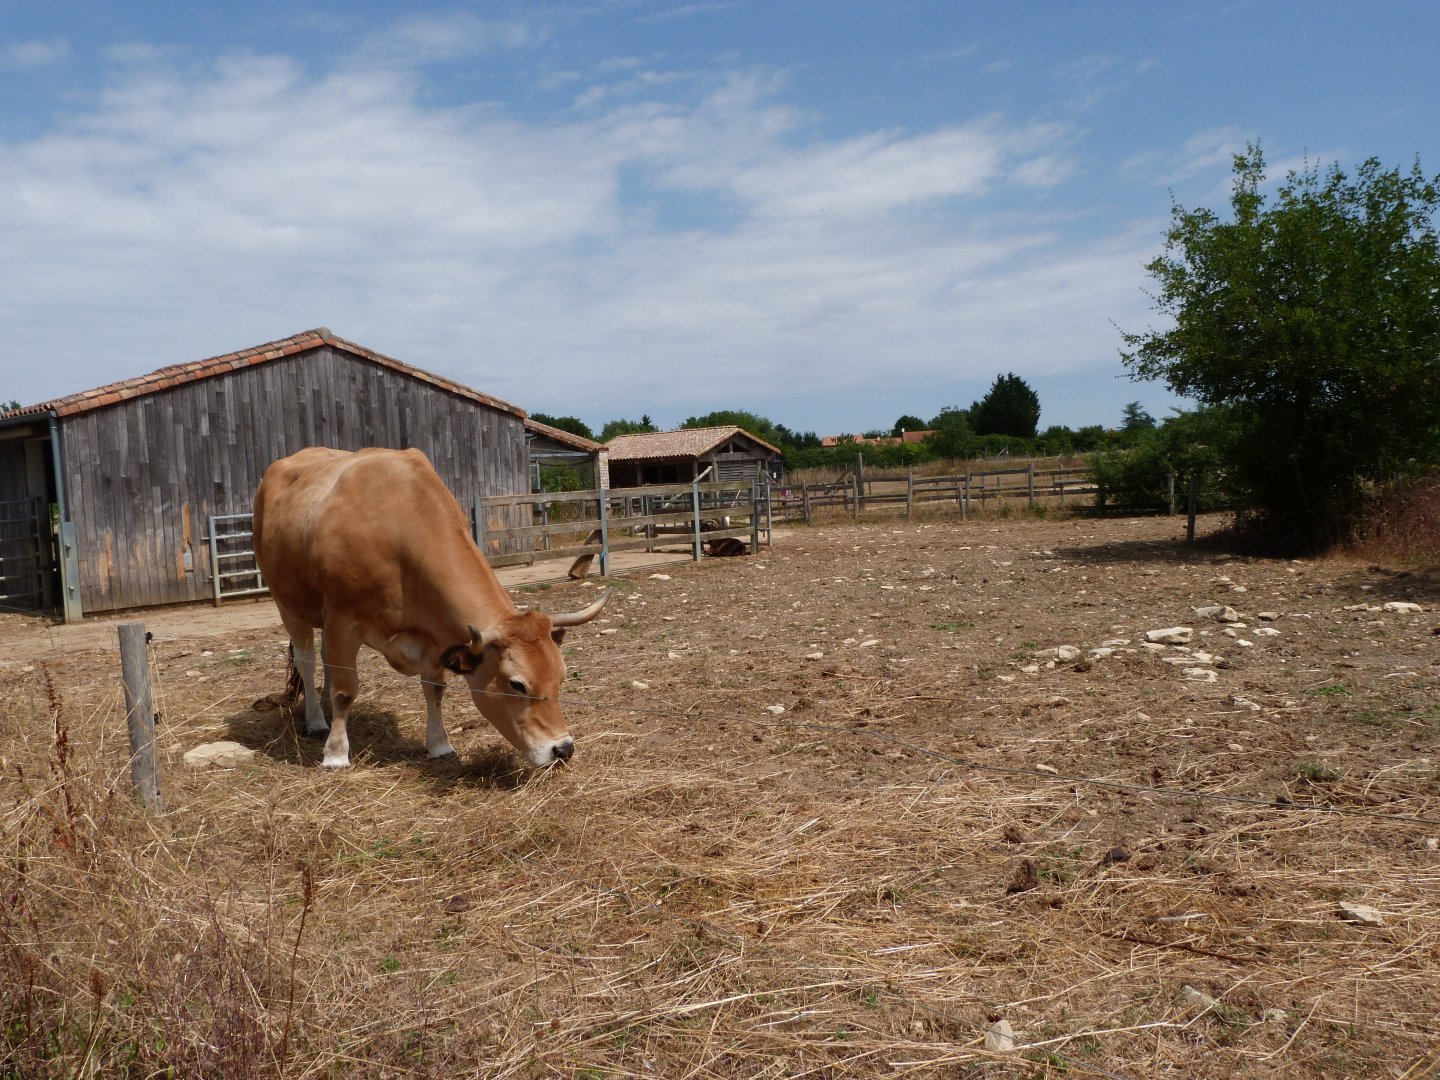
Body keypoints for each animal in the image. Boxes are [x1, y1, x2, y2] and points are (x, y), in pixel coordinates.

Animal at [252, 446, 608, 769]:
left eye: (561, 676)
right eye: (517, 684)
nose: (562, 749)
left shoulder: (435, 638)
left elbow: (435, 690)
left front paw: (439, 745)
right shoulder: (342, 620)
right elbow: (345, 691)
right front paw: (336, 754)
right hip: (289, 606)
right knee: (308, 661)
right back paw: (316, 720)